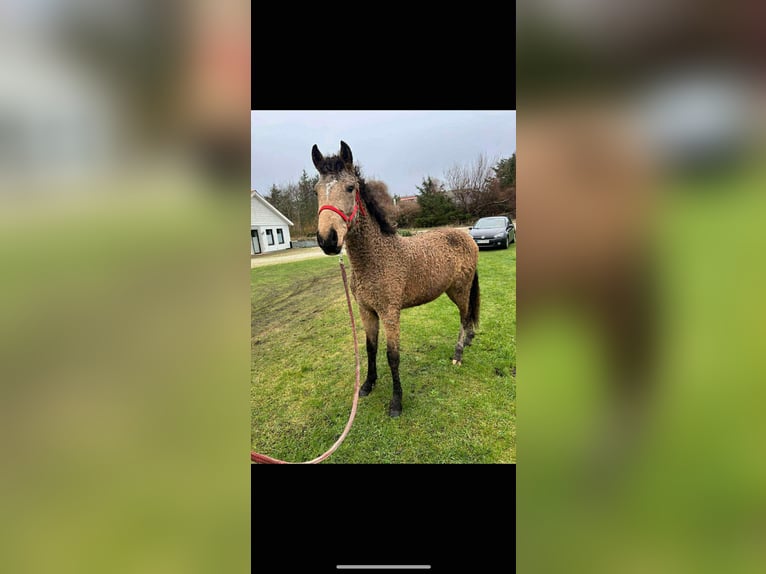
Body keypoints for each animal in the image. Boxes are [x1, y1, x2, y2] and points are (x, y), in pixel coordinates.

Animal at [312, 141, 480, 417]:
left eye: (350, 187)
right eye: (315, 191)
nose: (328, 239)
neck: (376, 259)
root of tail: (467, 236)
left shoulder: (390, 313)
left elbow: (393, 355)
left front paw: (396, 402)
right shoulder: (366, 310)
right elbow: (370, 347)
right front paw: (367, 385)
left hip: (461, 290)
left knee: (464, 317)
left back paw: (458, 353)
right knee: (467, 318)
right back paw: (467, 341)